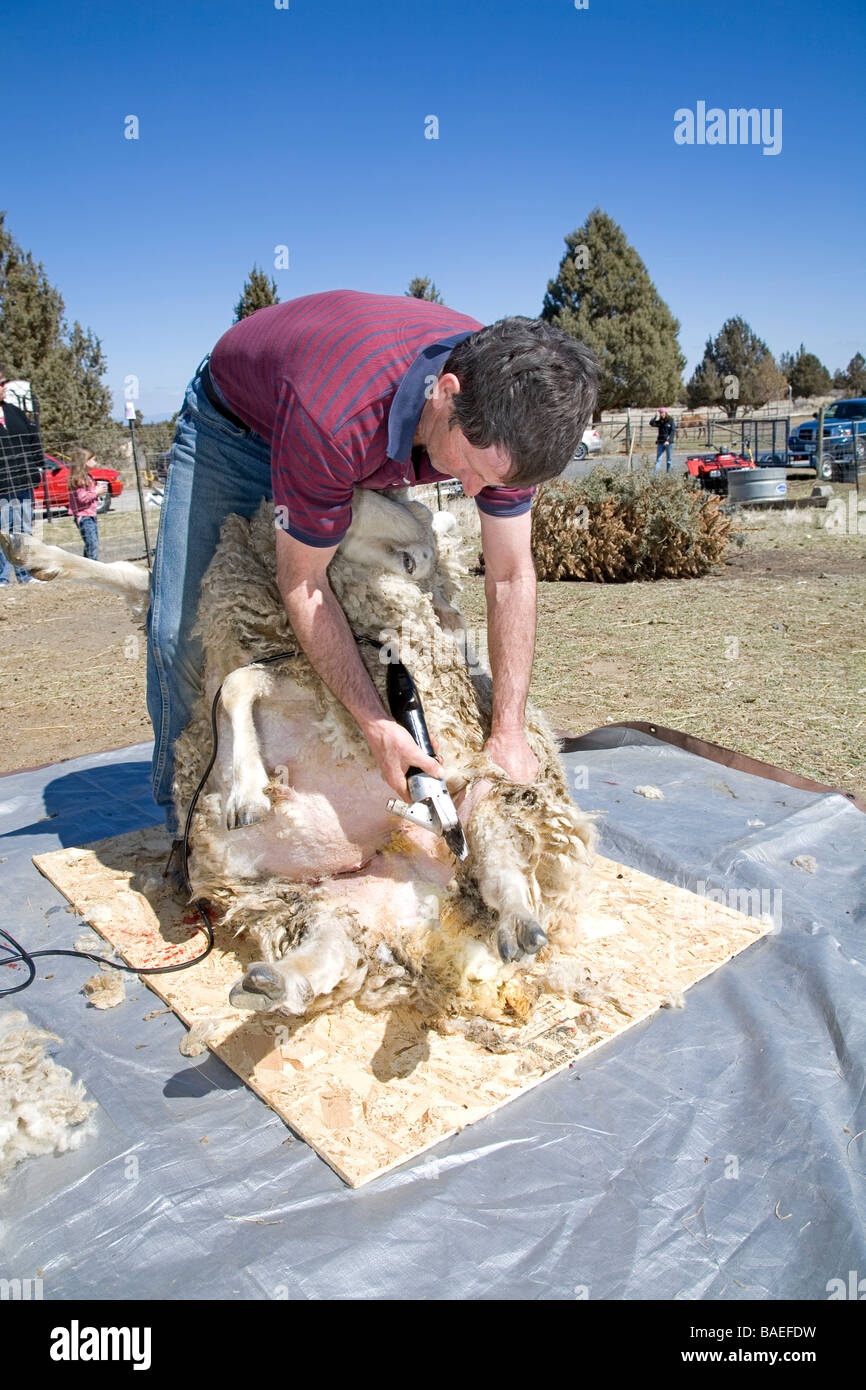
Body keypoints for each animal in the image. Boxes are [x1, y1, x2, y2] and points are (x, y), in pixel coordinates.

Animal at [1, 492, 596, 1031]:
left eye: (412, 564)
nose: (355, 496)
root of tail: (439, 898)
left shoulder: (325, 691)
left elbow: (238, 683)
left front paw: (245, 794)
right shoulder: (290, 669)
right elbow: (146, 591)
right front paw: (30, 552)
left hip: (495, 804)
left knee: (504, 871)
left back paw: (519, 923)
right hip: (320, 898)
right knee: (333, 949)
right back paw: (272, 983)